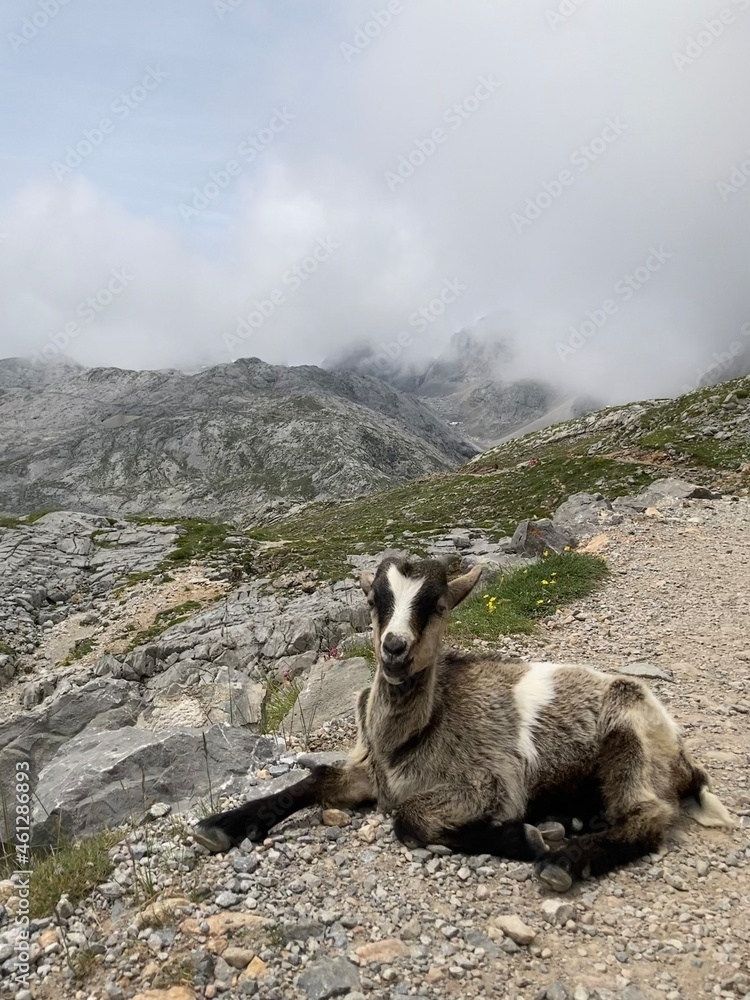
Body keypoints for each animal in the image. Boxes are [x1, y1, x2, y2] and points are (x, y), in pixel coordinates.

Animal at [194, 556, 734, 891]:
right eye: (375, 602)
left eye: (436, 606)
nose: (394, 649)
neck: (410, 735)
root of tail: (682, 756)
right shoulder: (368, 771)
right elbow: (314, 780)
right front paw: (220, 826)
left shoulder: (489, 783)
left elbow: (409, 819)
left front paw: (524, 838)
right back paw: (575, 820)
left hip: (628, 730)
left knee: (647, 817)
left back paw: (563, 858)